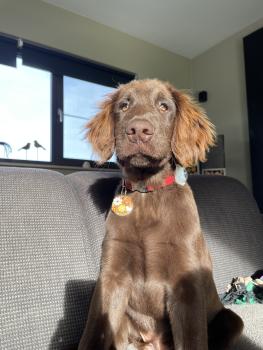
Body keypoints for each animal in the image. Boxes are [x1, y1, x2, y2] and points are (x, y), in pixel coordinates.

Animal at [78, 79, 243, 350]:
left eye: (164, 106)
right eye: (124, 106)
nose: (138, 130)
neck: (147, 192)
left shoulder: (187, 284)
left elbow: (193, 339)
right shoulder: (111, 275)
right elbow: (93, 332)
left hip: (231, 319)